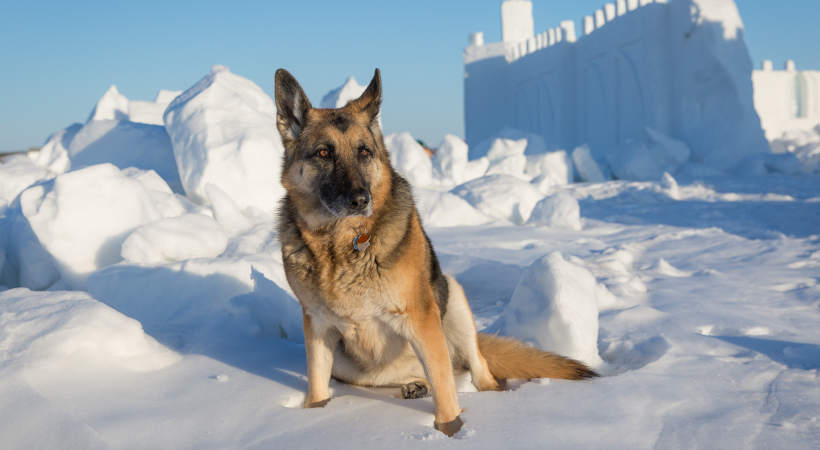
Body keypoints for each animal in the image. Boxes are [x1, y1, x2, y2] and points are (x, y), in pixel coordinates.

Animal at [276, 67, 596, 436]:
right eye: (324, 153)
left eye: (364, 152)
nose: (360, 200)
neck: (340, 245)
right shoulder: (317, 326)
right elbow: (316, 387)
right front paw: (312, 416)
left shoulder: (420, 316)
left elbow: (445, 395)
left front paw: (451, 432)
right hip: (350, 363)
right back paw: (414, 386)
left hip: (452, 300)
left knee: (477, 376)